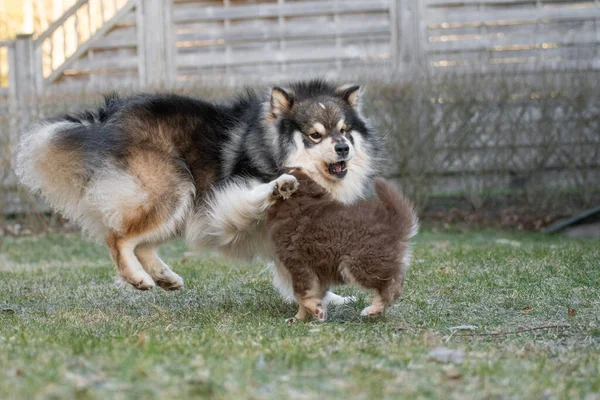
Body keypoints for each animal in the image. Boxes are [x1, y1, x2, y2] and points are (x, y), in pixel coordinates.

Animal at [17, 78, 384, 304]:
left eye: (344, 131)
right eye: (315, 135)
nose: (343, 149)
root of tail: (106, 115)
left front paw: (330, 299)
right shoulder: (225, 201)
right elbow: (254, 194)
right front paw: (278, 186)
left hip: (181, 206)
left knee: (142, 243)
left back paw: (164, 276)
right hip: (177, 188)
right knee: (117, 238)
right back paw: (137, 277)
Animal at [268, 169, 418, 322]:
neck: (301, 205)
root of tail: (394, 225)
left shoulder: (299, 265)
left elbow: (301, 295)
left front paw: (314, 312)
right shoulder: (317, 273)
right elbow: (311, 296)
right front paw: (299, 319)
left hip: (359, 263)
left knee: (392, 287)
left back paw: (372, 310)